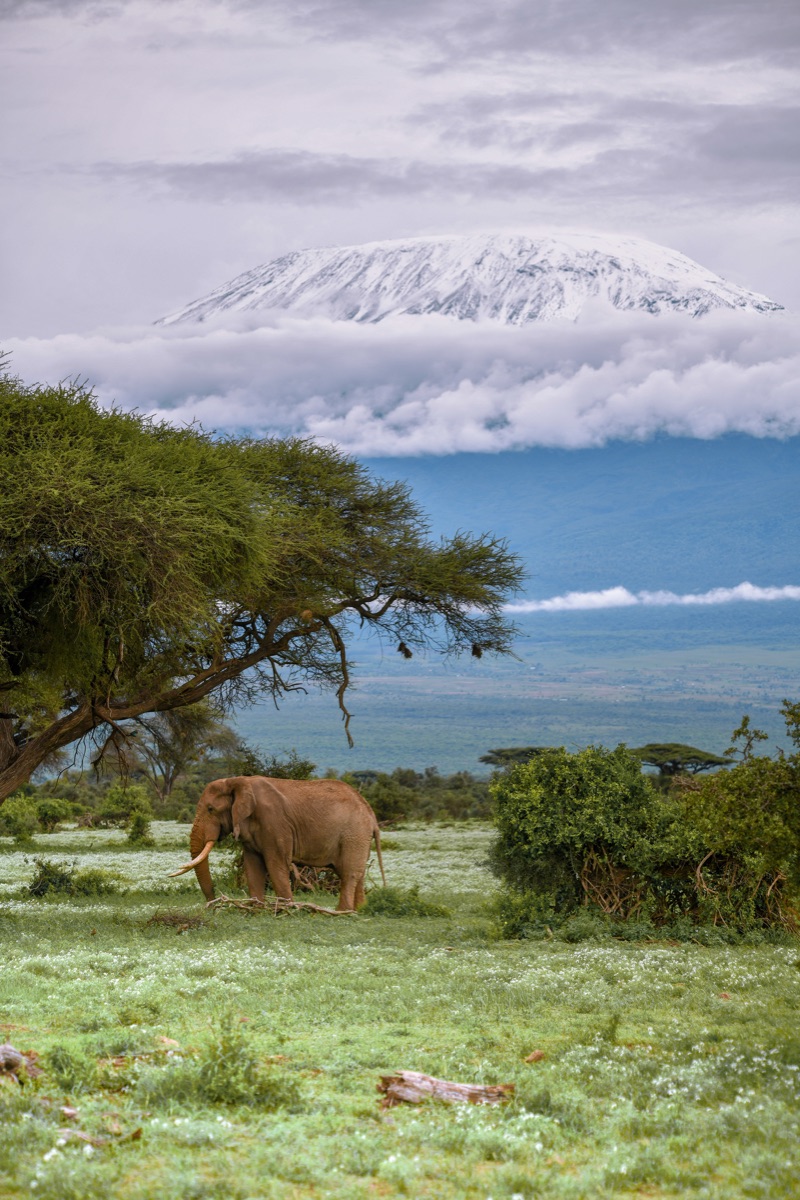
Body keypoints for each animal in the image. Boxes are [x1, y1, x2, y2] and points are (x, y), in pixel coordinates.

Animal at [169, 776, 386, 911]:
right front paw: (256, 909)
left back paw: (342, 912)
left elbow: (276, 865)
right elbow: (253, 867)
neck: (237, 781)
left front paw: (285, 909)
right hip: (358, 836)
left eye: (210, 809)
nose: (213, 903)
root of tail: (371, 814)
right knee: (358, 874)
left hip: (354, 834)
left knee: (349, 873)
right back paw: (360, 910)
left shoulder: (275, 823)